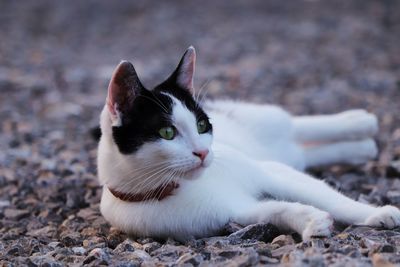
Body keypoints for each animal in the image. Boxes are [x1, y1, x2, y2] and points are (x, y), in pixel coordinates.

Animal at [97, 46, 400, 243]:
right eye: (167, 132)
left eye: (202, 126)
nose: (203, 152)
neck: (179, 186)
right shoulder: (232, 213)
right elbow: (273, 209)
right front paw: (310, 221)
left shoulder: (269, 171)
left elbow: (329, 197)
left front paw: (376, 213)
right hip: (285, 154)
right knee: (304, 151)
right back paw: (362, 148)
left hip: (265, 124)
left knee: (295, 125)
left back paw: (360, 121)